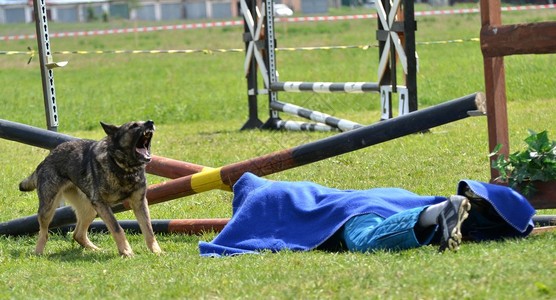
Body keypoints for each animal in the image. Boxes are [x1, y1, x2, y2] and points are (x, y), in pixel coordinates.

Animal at [19, 120, 161, 256]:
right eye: (134, 126)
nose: (150, 122)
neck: (122, 167)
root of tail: (46, 159)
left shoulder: (139, 203)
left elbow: (148, 229)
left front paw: (156, 251)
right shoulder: (101, 204)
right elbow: (117, 228)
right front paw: (126, 251)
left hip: (90, 210)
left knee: (78, 234)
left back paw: (96, 249)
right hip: (48, 208)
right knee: (44, 232)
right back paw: (38, 252)